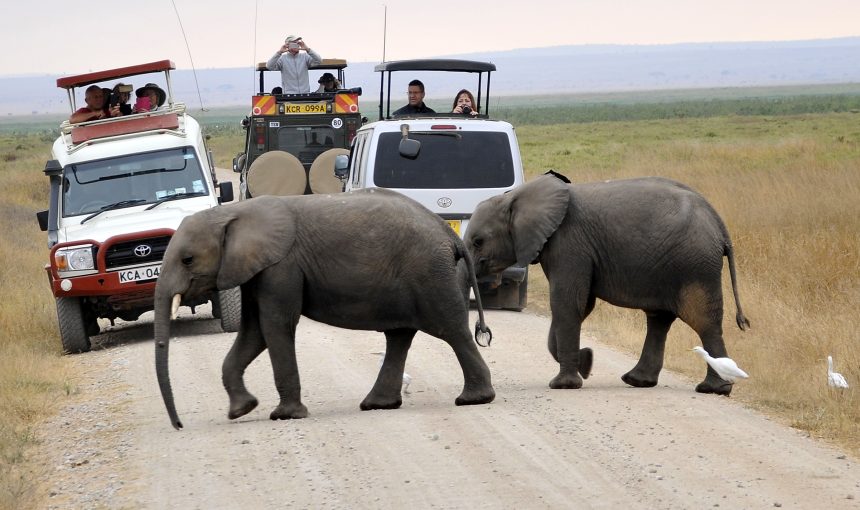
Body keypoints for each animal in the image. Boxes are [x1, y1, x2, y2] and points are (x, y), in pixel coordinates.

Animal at [151, 189, 494, 428]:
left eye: (187, 260)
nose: (179, 425)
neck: (231, 212)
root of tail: (449, 234)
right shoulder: (254, 270)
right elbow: (254, 332)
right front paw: (241, 410)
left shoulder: (281, 266)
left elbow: (275, 325)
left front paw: (285, 416)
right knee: (399, 336)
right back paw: (377, 405)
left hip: (429, 273)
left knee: (451, 329)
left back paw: (474, 399)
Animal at [464, 171, 744, 394]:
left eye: (478, 242)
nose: (483, 332)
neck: (515, 196)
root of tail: (720, 226)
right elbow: (580, 304)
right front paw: (586, 362)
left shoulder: (568, 243)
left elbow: (568, 303)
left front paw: (564, 384)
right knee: (659, 319)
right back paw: (638, 381)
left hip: (695, 265)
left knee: (703, 321)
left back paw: (713, 389)